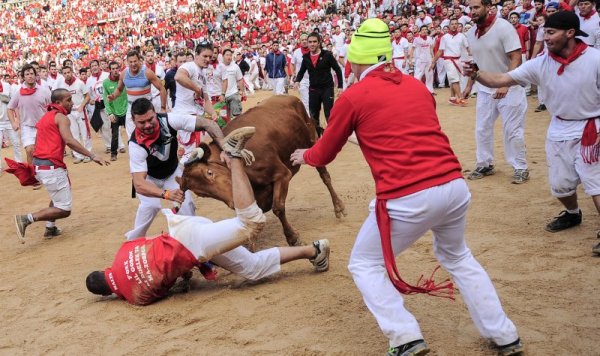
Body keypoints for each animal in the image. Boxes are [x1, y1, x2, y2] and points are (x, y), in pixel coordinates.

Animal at [177, 94, 346, 246]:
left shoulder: (282, 175)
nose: (233, 203)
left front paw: (292, 237)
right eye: (201, 194)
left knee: (325, 176)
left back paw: (338, 207)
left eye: (209, 172)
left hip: (312, 142)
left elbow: (278, 208)